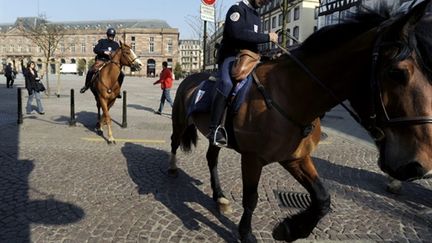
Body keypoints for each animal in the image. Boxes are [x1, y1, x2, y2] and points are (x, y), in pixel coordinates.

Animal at [169, 2, 432, 243]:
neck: (290, 94)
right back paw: (172, 169)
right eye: (398, 73)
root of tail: (189, 78)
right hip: (180, 123)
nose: (419, 165)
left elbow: (322, 198)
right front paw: (246, 233)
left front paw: (290, 229)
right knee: (174, 143)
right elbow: (251, 198)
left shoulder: (296, 157)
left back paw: (220, 196)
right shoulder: (253, 159)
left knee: (211, 158)